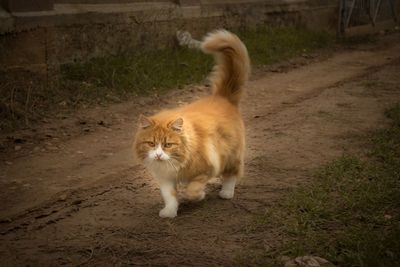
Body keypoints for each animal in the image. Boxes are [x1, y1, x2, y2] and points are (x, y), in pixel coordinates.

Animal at [136, 29, 252, 218]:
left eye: (168, 145)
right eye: (151, 143)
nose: (159, 155)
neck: (177, 161)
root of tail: (222, 97)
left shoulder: (207, 168)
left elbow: (193, 189)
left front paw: (199, 196)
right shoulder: (166, 178)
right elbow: (169, 197)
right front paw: (169, 212)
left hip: (232, 154)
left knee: (231, 175)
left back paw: (226, 193)